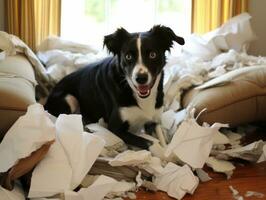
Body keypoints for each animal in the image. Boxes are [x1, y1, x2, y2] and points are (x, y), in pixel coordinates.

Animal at [44, 25, 185, 148]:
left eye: (152, 54)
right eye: (128, 56)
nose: (141, 78)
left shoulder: (154, 121)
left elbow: (163, 142)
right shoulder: (115, 128)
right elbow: (149, 142)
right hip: (69, 98)